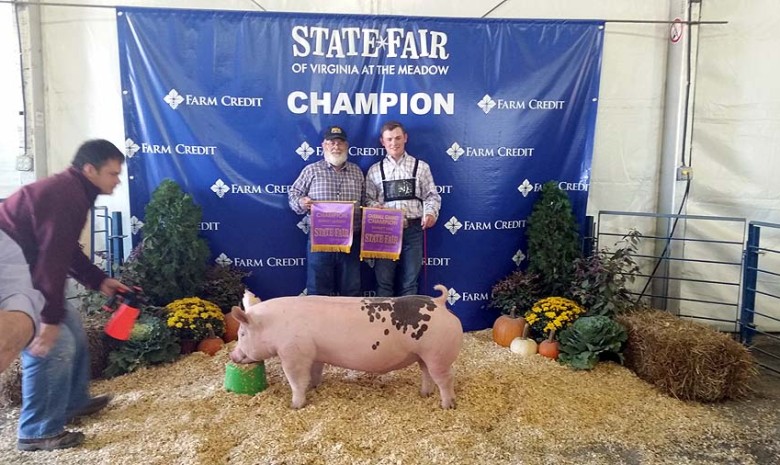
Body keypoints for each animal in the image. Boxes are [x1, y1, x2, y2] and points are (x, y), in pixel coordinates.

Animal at [230, 284, 464, 408]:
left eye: (241, 334)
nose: (232, 356)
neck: (274, 325)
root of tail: (440, 303)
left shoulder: (293, 354)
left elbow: (296, 381)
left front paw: (295, 406)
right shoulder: (314, 354)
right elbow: (314, 372)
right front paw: (314, 386)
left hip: (437, 355)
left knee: (446, 379)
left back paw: (446, 405)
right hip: (424, 355)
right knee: (427, 375)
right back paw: (424, 394)